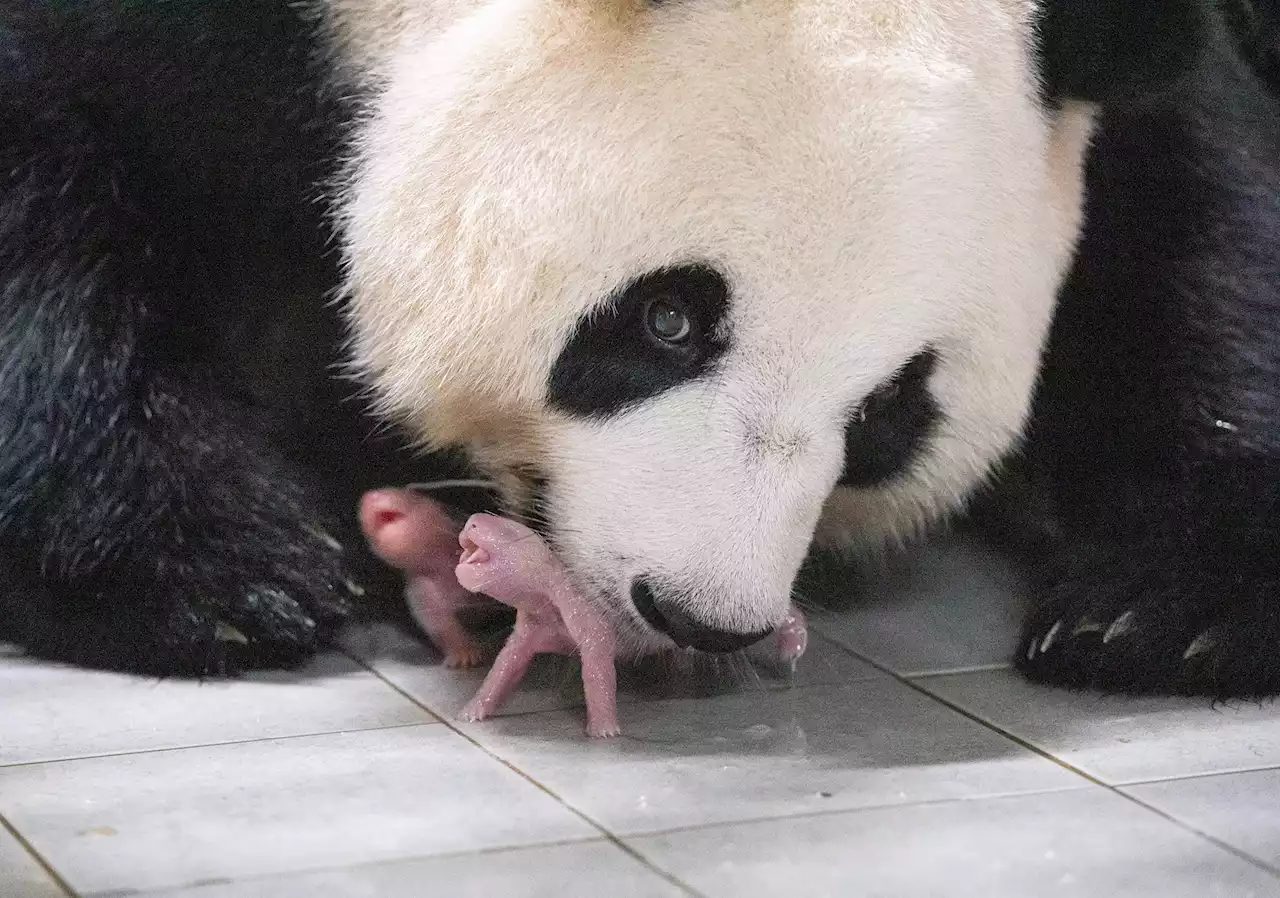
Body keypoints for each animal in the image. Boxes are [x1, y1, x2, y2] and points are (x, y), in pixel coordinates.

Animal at [2, 0, 1280, 701]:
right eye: (667, 319)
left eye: (888, 411)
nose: (700, 614)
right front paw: (214, 571)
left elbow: (1197, 218)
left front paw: (1163, 609)